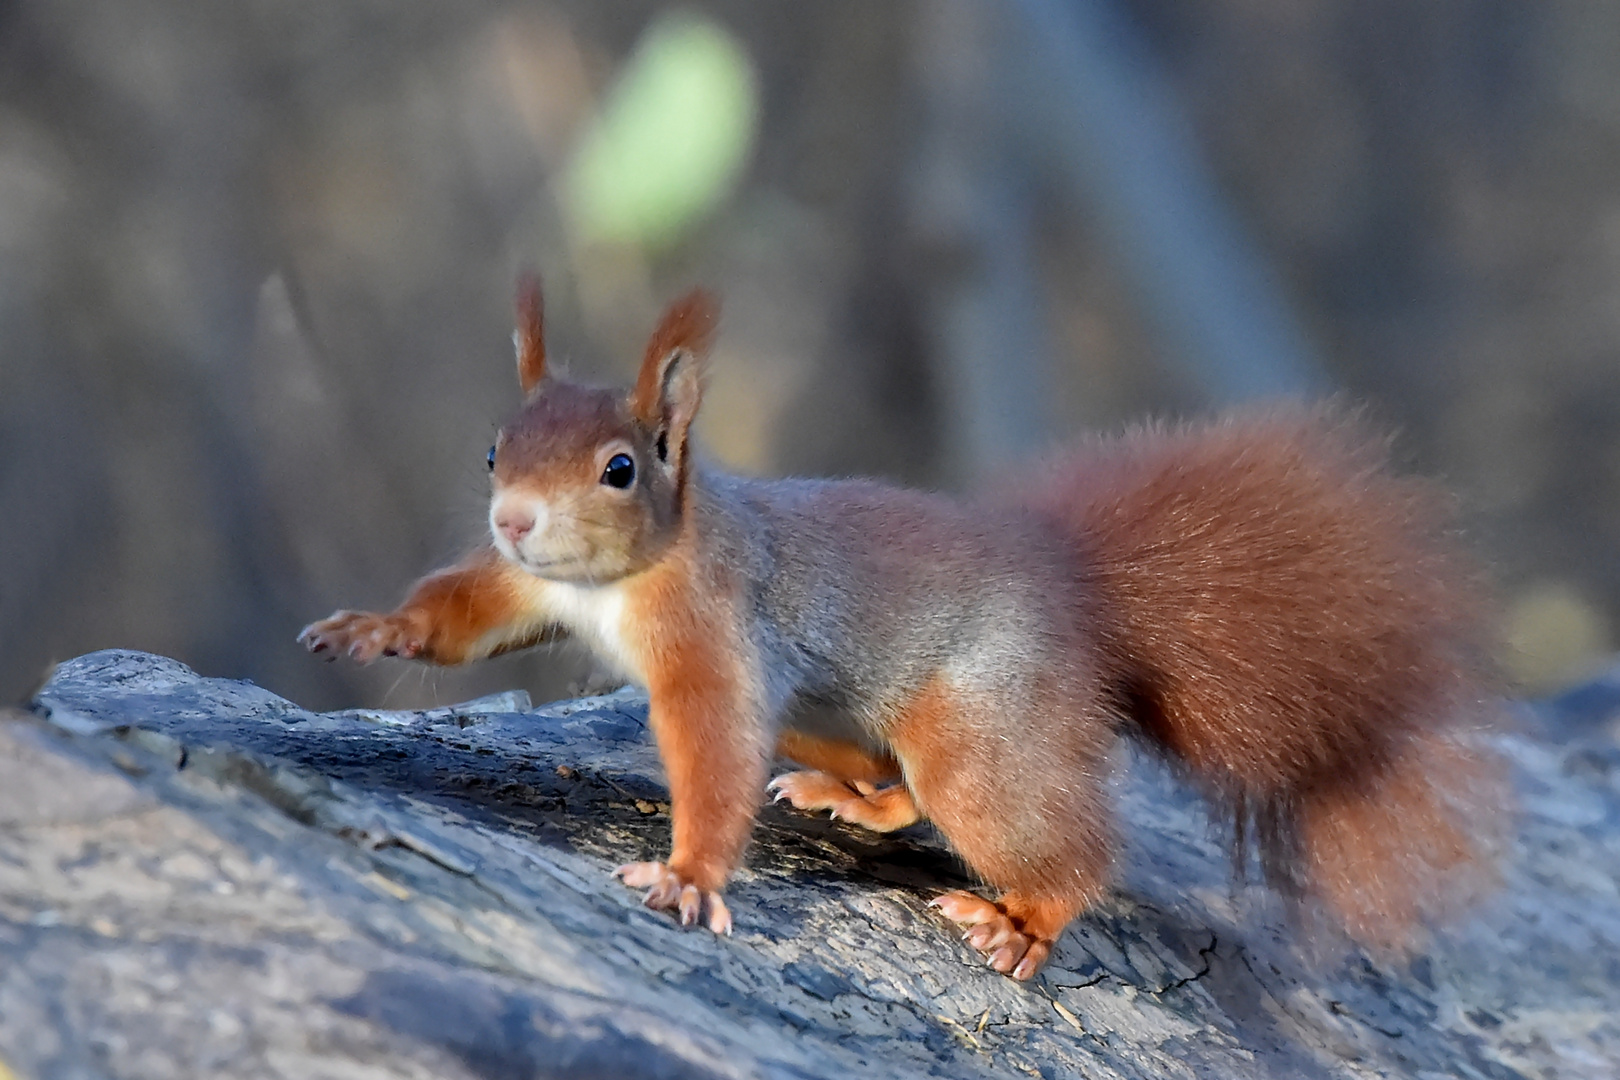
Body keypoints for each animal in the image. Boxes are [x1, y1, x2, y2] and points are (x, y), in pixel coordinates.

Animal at [301, 276, 1503, 977]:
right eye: (493, 451)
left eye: (620, 469)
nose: (513, 518)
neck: (615, 582)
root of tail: (1076, 598)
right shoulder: (528, 589)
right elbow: (466, 612)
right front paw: (371, 630)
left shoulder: (713, 630)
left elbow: (714, 746)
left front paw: (687, 876)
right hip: (836, 715)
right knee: (896, 788)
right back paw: (852, 799)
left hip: (979, 729)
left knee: (1047, 837)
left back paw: (1021, 924)